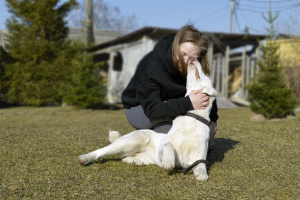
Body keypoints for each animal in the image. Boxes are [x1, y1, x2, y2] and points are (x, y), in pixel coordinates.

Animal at [78, 61, 217, 181]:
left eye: (206, 74)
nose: (194, 59)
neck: (193, 118)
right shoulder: (162, 149)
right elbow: (168, 145)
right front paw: (168, 162)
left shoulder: (199, 157)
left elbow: (201, 166)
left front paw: (202, 174)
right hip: (132, 140)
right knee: (102, 151)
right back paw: (85, 158)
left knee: (123, 157)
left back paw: (136, 161)